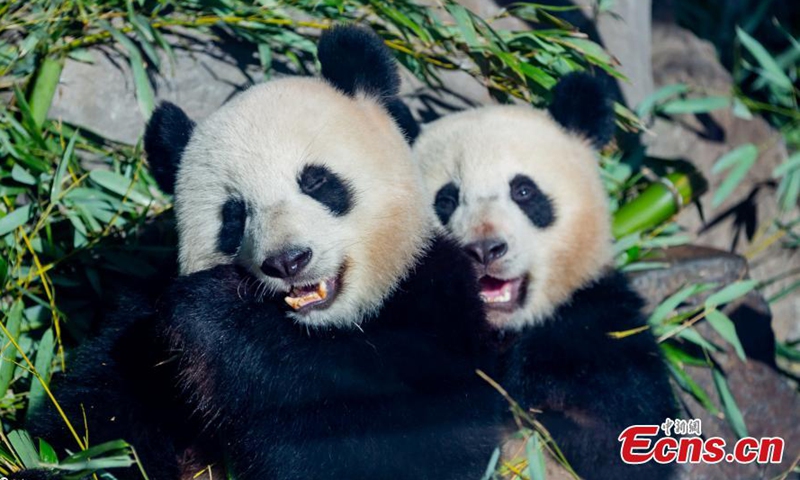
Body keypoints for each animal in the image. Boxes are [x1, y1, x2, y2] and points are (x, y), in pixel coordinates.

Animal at [19, 26, 497, 480]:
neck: (320, 329)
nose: (288, 261)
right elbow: (93, 426)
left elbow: (396, 441)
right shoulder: (139, 334)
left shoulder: (438, 305)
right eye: (234, 215)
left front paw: (217, 312)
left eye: (316, 181)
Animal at [412, 73, 677, 479]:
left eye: (523, 191)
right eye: (446, 200)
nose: (484, 249)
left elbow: (616, 440)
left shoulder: (597, 327)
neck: (502, 330)